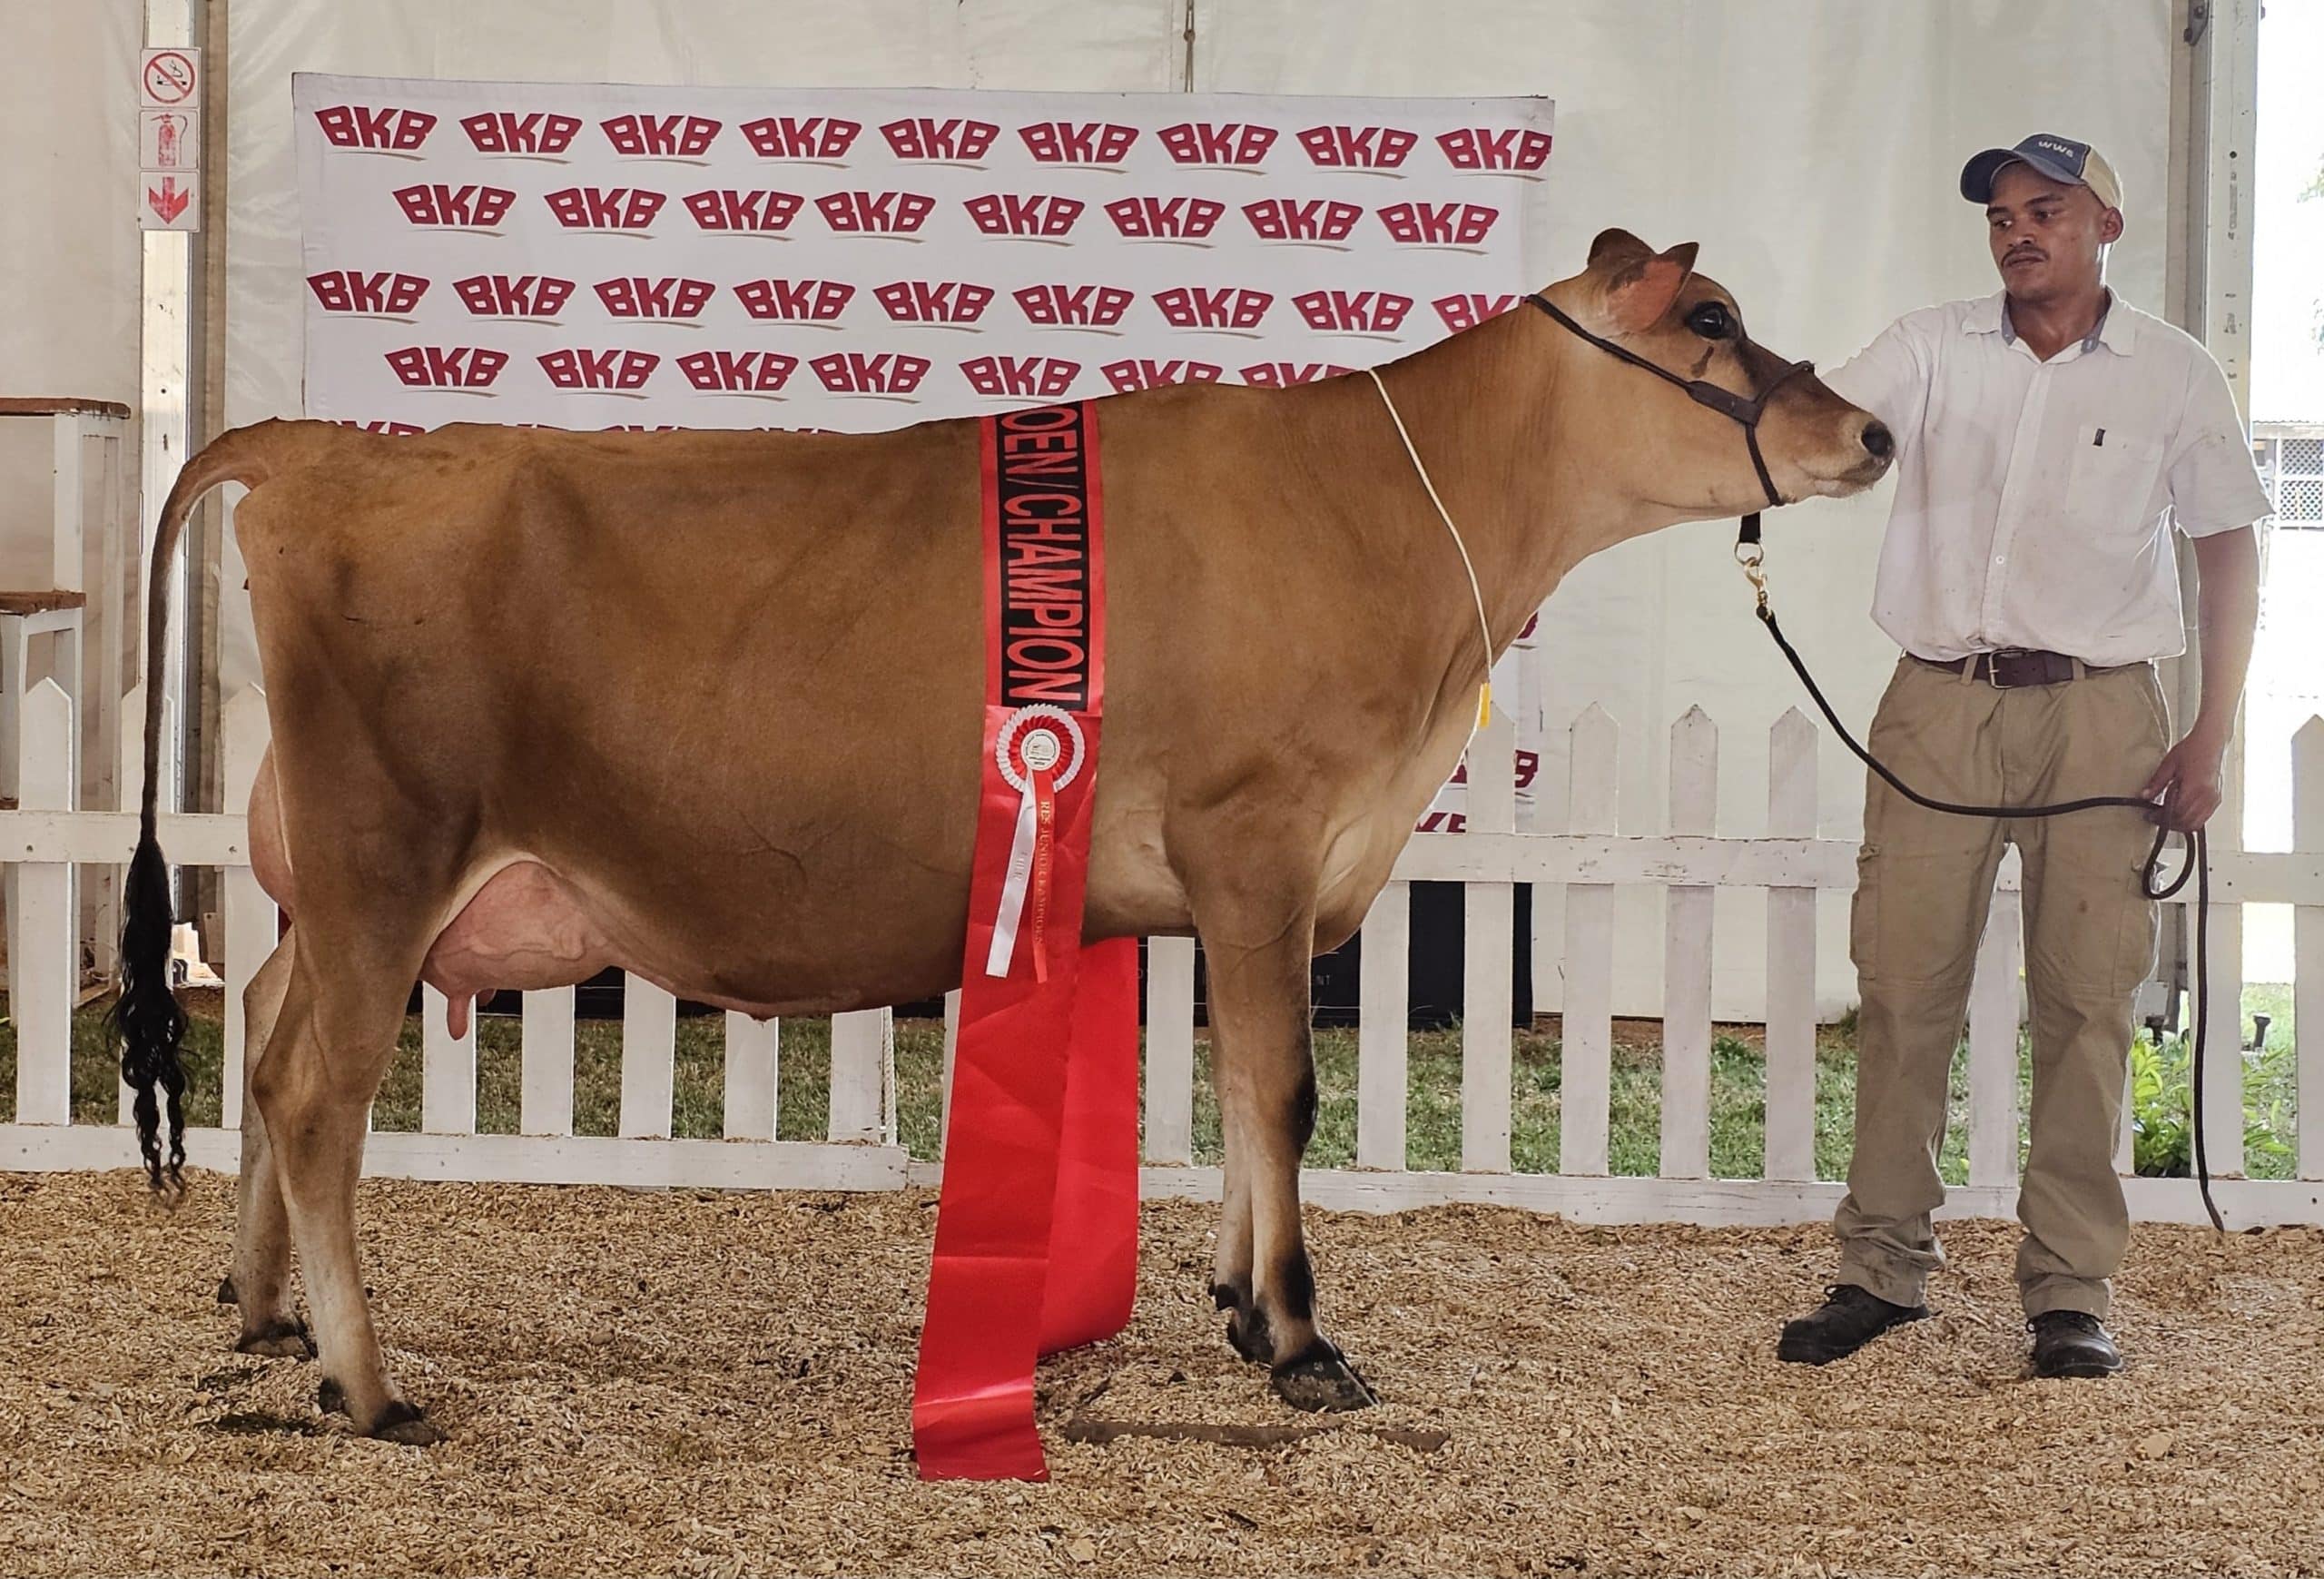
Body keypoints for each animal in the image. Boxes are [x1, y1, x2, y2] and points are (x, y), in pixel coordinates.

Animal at [117, 229, 1886, 1451]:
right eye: (1710, 323)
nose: (1871, 435)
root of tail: (320, 444)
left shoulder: (1235, 887)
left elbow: (1236, 1093)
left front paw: (1235, 1298)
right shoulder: (1260, 838)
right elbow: (1286, 1089)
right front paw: (1305, 1343)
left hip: (326, 883)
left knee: (261, 1036)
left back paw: (262, 1311)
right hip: (385, 857)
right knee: (311, 1086)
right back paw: (366, 1381)